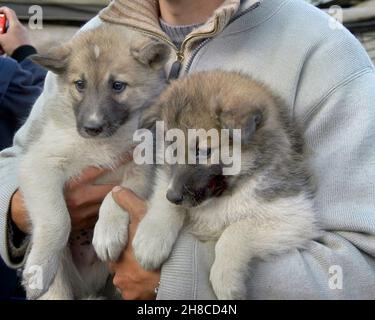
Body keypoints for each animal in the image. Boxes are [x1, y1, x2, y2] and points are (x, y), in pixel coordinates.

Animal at [18, 24, 170, 300]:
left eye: (118, 85)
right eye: (80, 84)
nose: (91, 127)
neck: (102, 144)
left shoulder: (142, 169)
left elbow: (116, 193)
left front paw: (107, 232)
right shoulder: (39, 163)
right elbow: (58, 219)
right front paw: (39, 268)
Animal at [131, 70, 318, 300]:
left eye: (203, 151)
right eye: (171, 148)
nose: (173, 196)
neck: (227, 193)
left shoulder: (294, 215)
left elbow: (235, 231)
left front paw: (225, 278)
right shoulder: (166, 180)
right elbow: (162, 200)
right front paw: (151, 240)